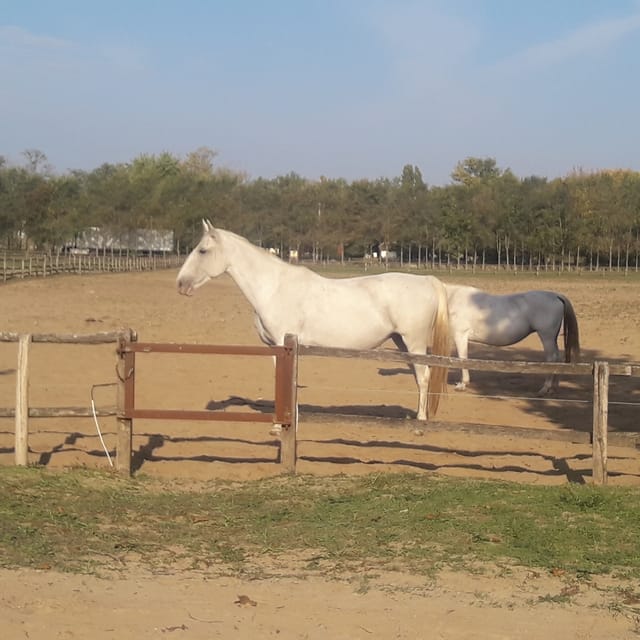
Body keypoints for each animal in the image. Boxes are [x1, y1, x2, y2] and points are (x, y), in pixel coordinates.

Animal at [176, 220, 451, 424]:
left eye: (202, 250)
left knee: (424, 376)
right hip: (401, 343)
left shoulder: (283, 344)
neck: (274, 287)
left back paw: (421, 419)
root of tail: (428, 280)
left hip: (414, 342)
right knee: (418, 376)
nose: (180, 284)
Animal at [445, 284, 580, 395]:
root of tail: (556, 296)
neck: (452, 299)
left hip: (547, 337)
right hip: (552, 338)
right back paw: (553, 388)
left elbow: (462, 358)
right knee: (558, 358)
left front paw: (462, 384)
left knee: (552, 358)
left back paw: (545, 388)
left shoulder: (460, 335)